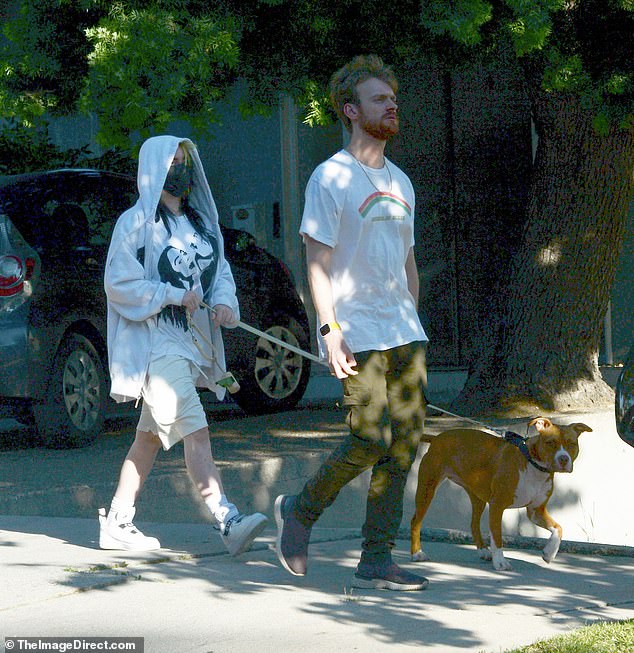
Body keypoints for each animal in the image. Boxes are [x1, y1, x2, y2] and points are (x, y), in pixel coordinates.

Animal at [408, 420, 592, 568]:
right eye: (550, 442)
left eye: (572, 443)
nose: (563, 459)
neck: (534, 465)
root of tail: (437, 438)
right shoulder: (497, 506)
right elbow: (497, 537)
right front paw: (501, 562)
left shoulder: (536, 511)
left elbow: (558, 528)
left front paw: (549, 552)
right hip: (427, 489)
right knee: (416, 521)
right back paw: (417, 553)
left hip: (478, 497)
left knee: (474, 524)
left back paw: (483, 551)